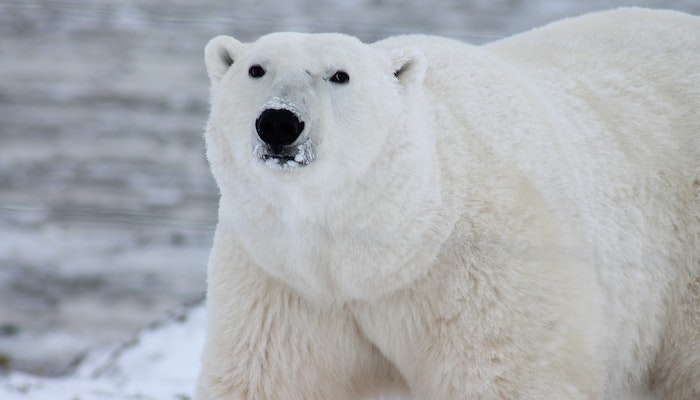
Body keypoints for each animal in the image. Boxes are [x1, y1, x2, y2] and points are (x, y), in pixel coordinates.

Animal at [193, 7, 700, 400]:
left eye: (339, 75)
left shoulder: (485, 272)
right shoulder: (283, 283)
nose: (279, 122)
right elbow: (268, 378)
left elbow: (504, 378)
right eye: (256, 69)